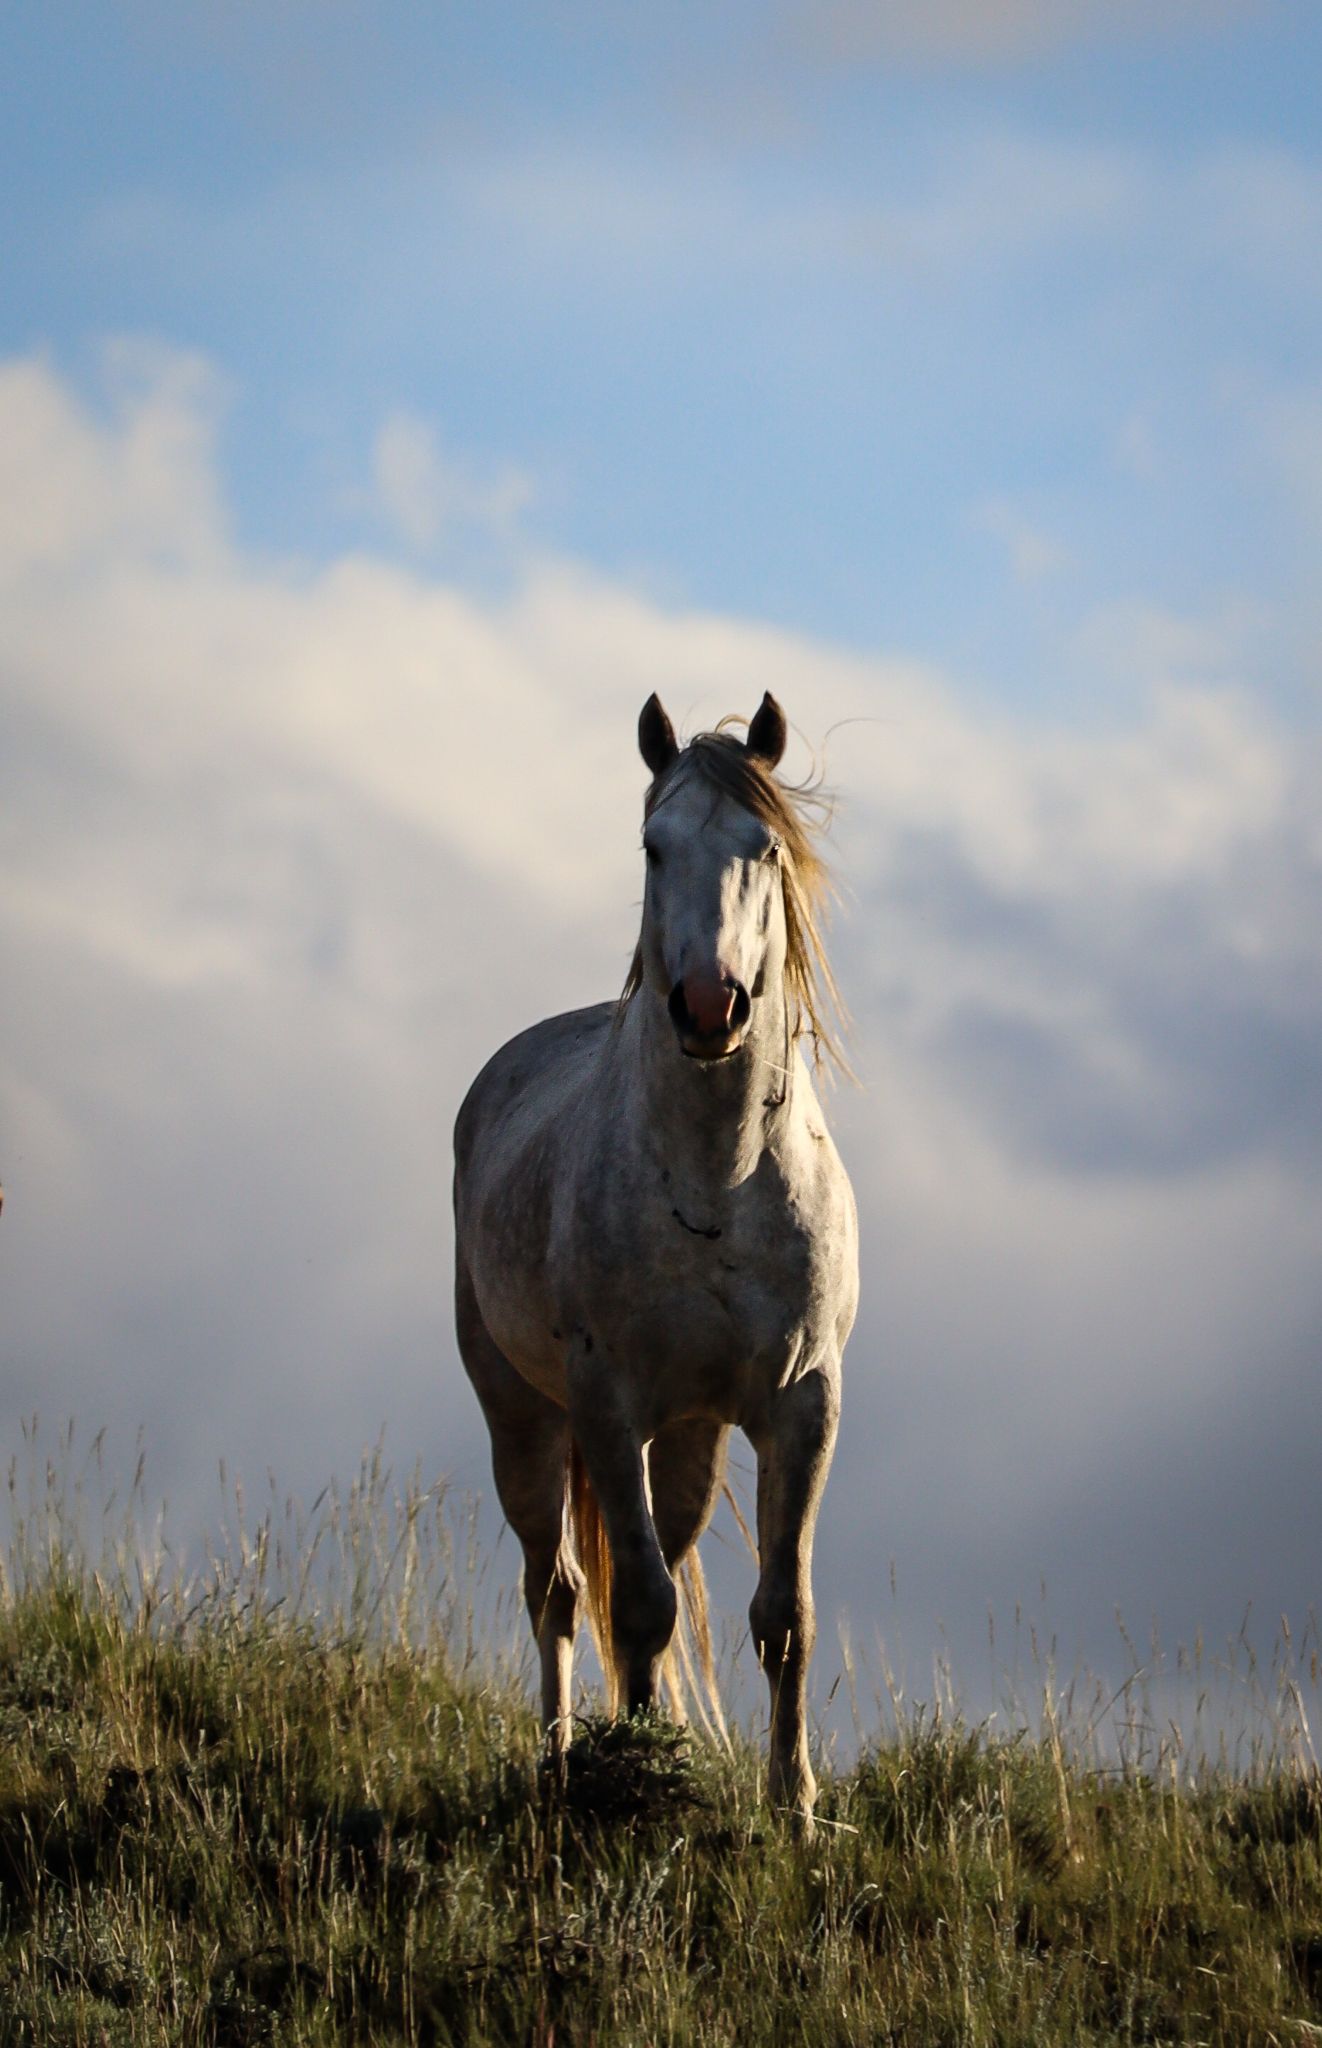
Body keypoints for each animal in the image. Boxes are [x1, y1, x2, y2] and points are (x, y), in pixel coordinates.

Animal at [452, 691, 858, 1828]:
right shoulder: (608, 1403)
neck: (718, 1181)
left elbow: (784, 1613)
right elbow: (631, 1602)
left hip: (688, 1436)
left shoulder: (800, 1404)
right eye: (651, 845)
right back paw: (560, 1758)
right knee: (557, 1588)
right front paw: (634, 1788)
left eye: (765, 847)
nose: (708, 1004)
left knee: (654, 1575)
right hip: (523, 1416)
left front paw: (795, 1808)